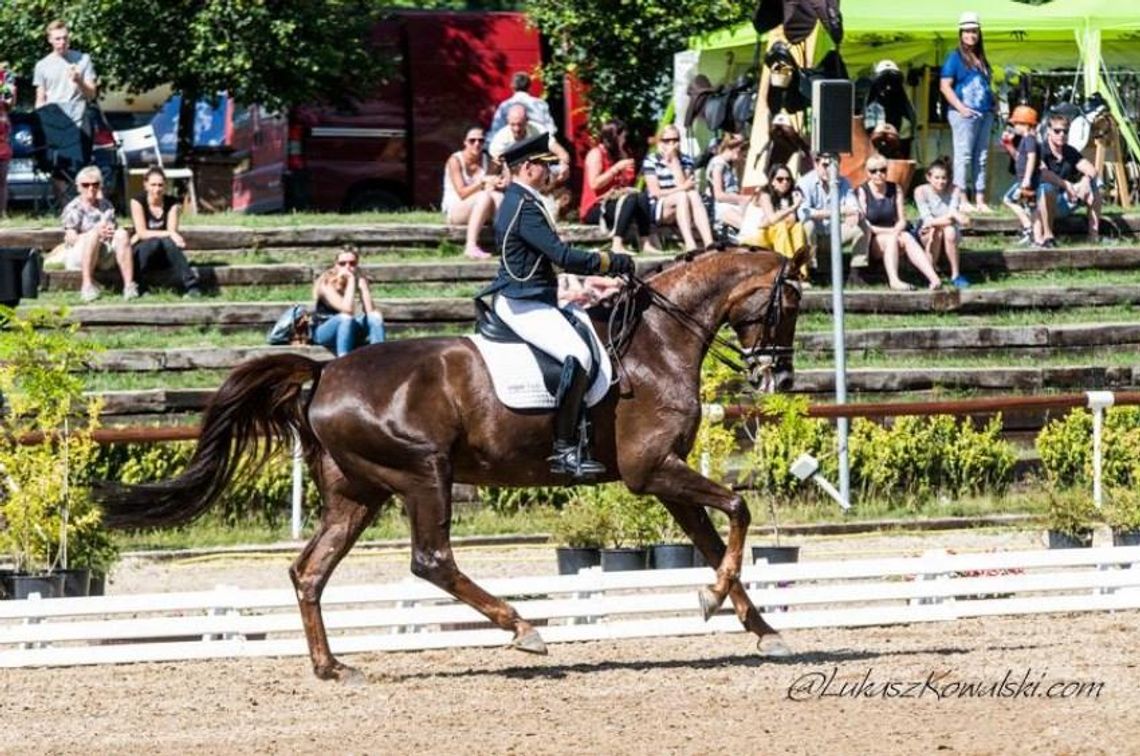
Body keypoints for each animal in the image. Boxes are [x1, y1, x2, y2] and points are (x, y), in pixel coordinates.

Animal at [100, 247, 811, 679]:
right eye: (790, 303)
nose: (777, 378)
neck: (656, 343)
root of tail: (325, 372)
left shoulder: (664, 478)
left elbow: (713, 538)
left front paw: (756, 625)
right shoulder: (651, 470)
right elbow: (739, 509)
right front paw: (716, 601)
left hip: (357, 494)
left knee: (310, 571)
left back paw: (333, 667)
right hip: (424, 473)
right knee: (431, 559)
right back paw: (524, 628)